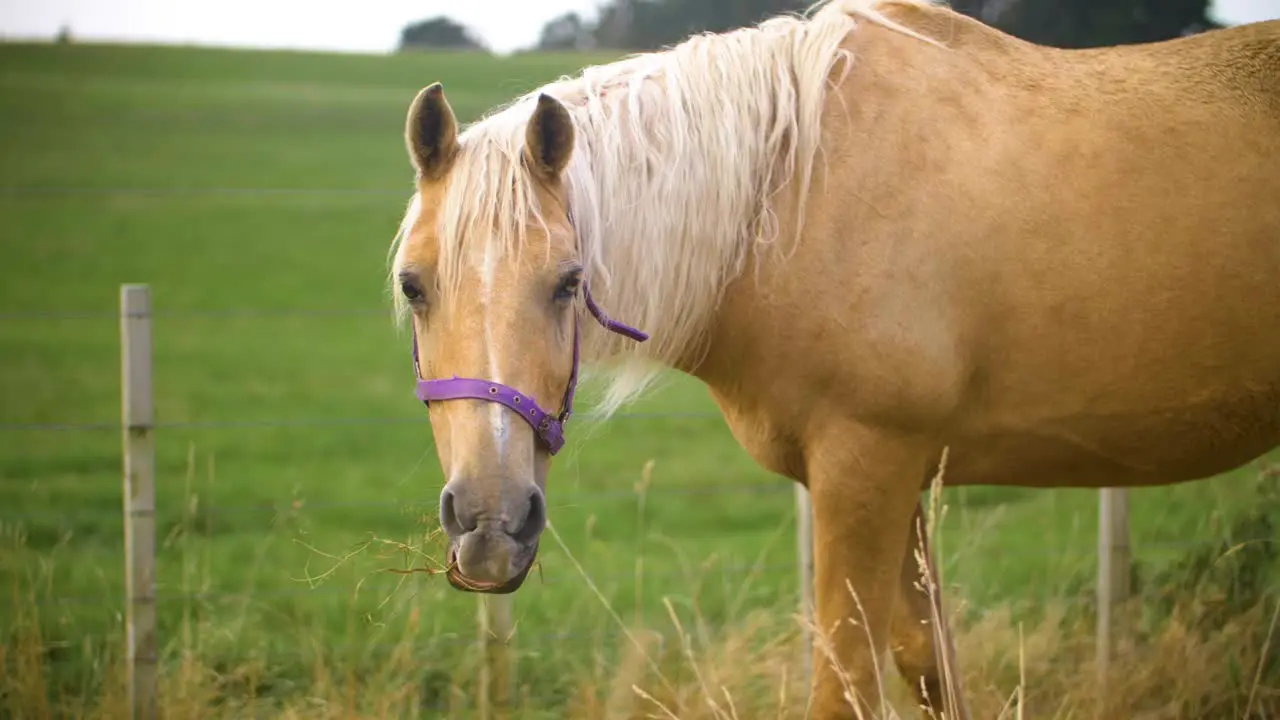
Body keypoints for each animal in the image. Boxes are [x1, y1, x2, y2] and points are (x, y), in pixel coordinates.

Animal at [389, 1, 1280, 712]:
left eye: (570, 283)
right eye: (413, 285)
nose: (490, 523)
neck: (792, 196)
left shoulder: (866, 469)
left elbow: (846, 683)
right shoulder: (903, 484)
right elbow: (930, 666)